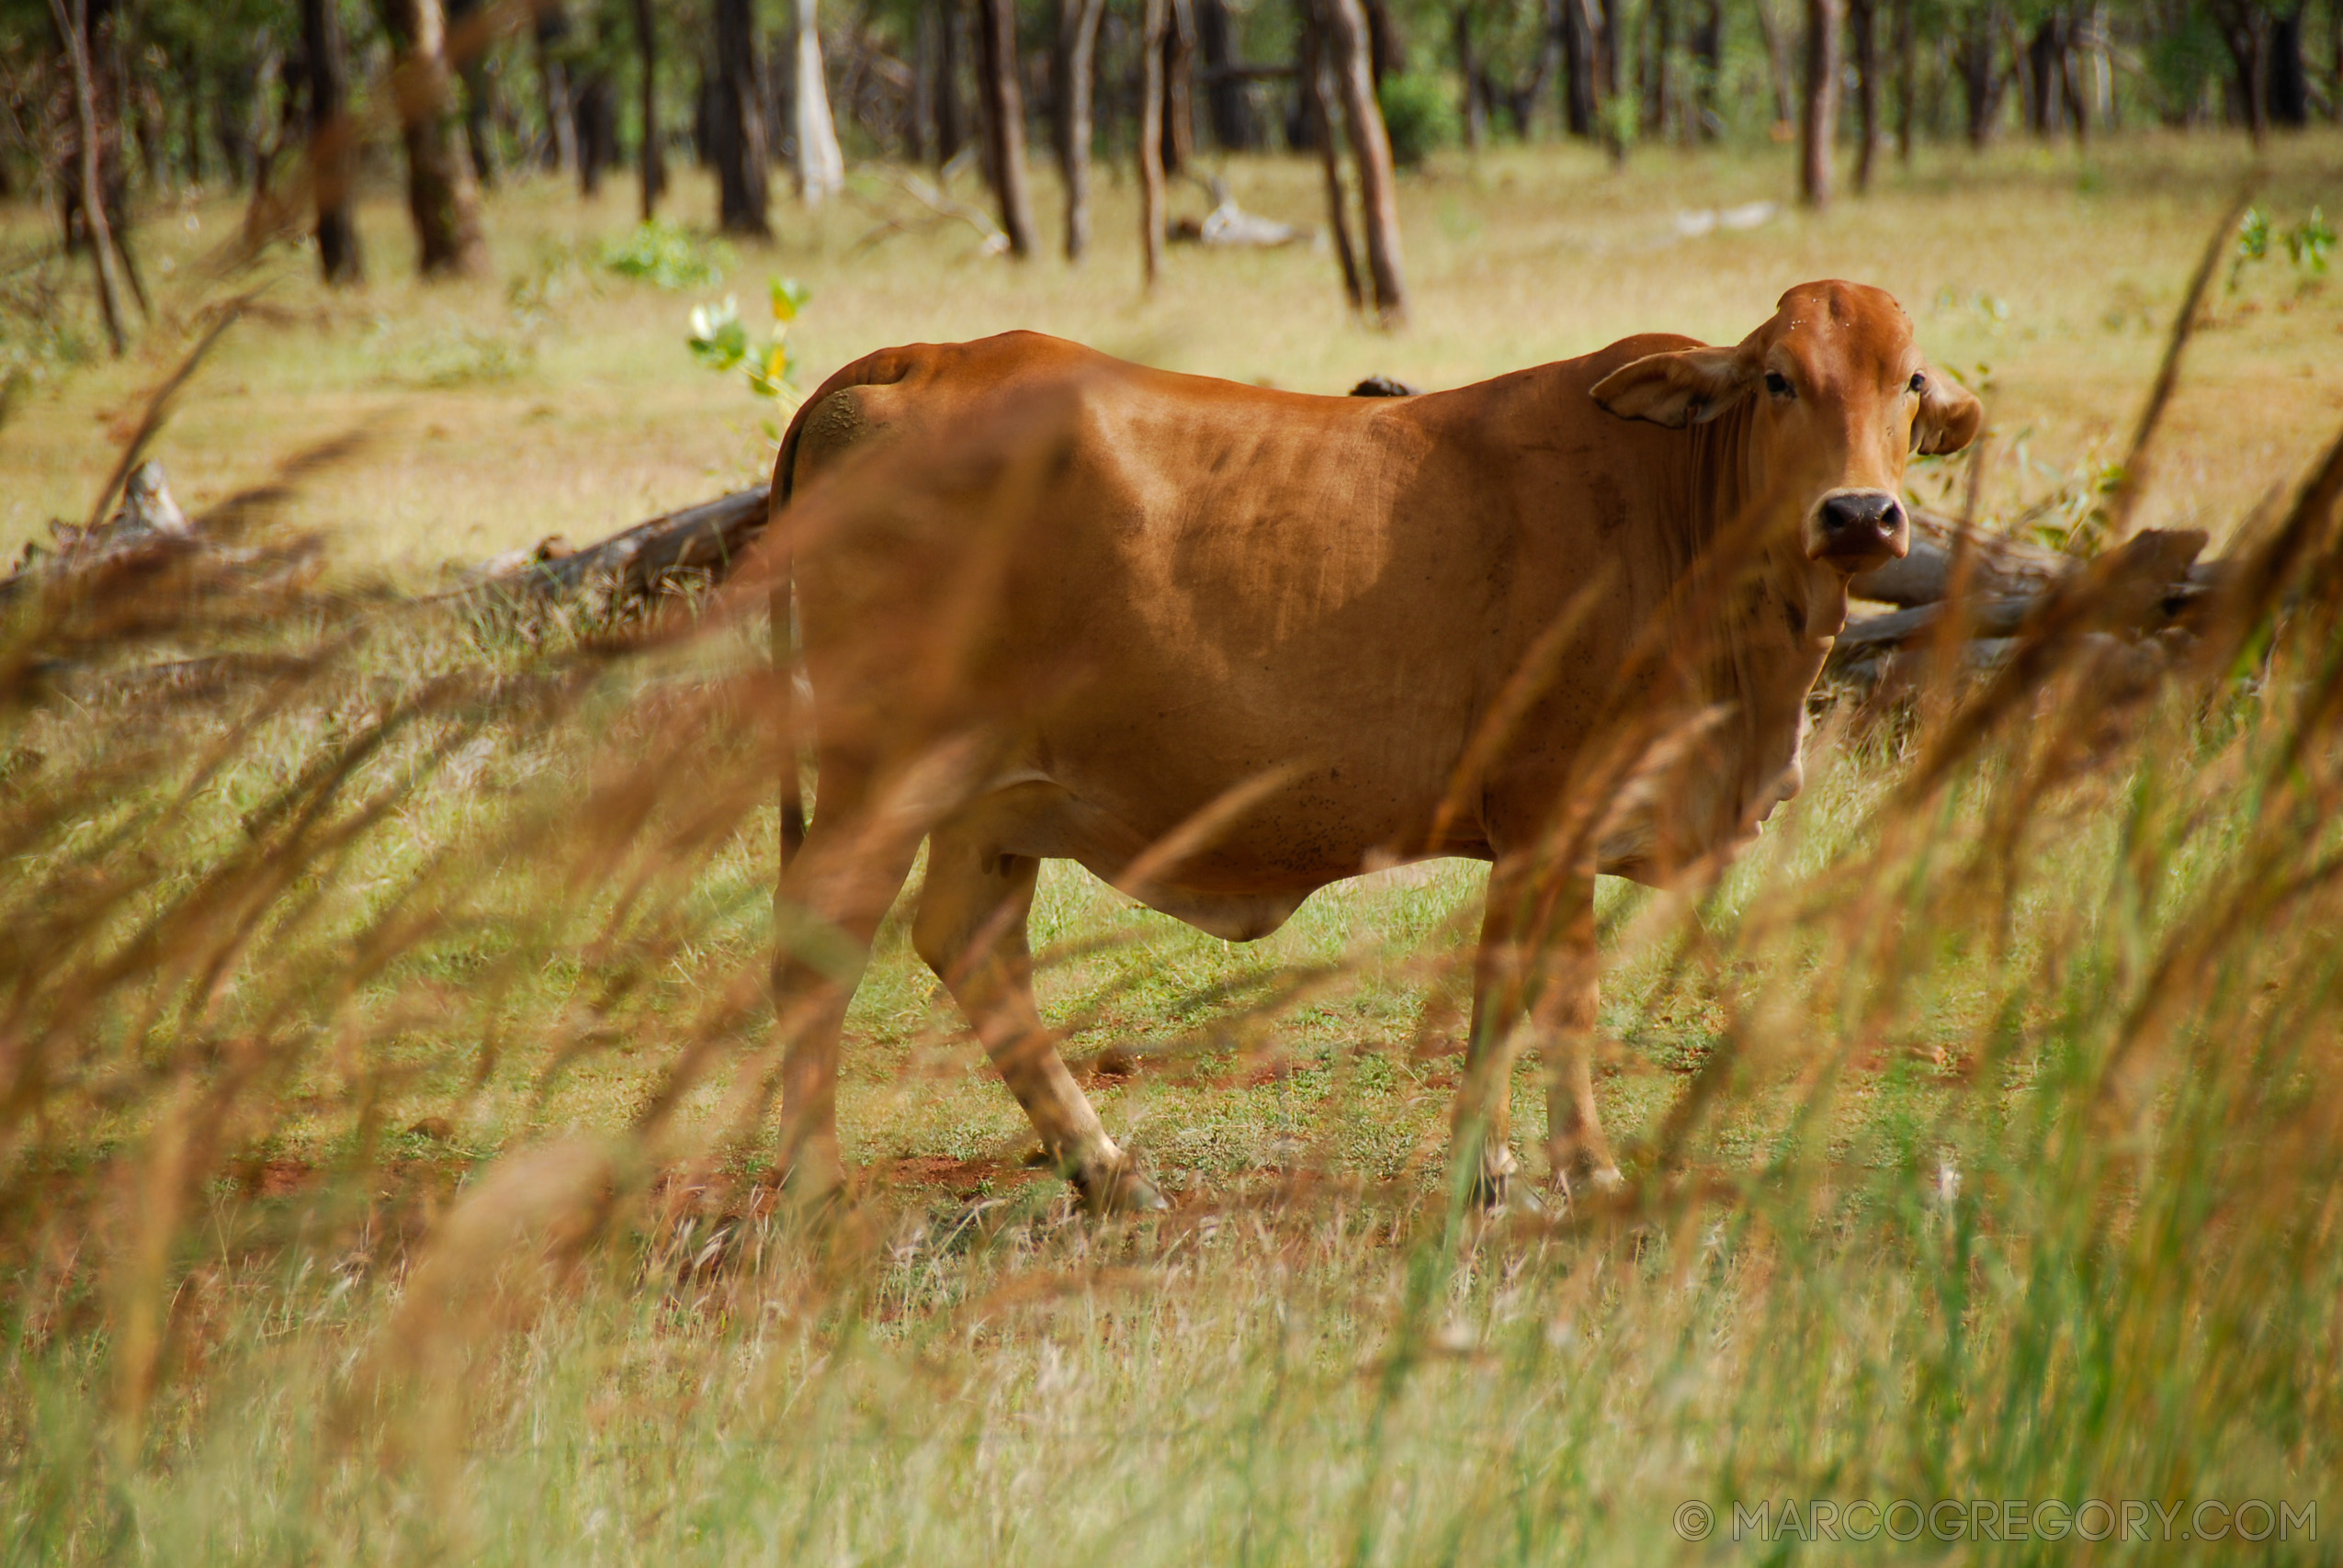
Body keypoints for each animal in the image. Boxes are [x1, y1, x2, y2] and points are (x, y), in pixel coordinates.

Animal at [764, 277, 1977, 1209]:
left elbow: (1520, 992)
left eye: (1910, 382)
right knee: (819, 939)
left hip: (990, 798)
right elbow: (1550, 992)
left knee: (969, 941)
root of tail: (915, 359)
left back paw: (1104, 1168)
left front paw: (1505, 1166)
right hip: (881, 773)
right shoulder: (1550, 807)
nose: (1859, 515)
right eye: (1778, 378)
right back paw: (816, 1187)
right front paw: (1562, 1168)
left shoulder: (1545, 830)